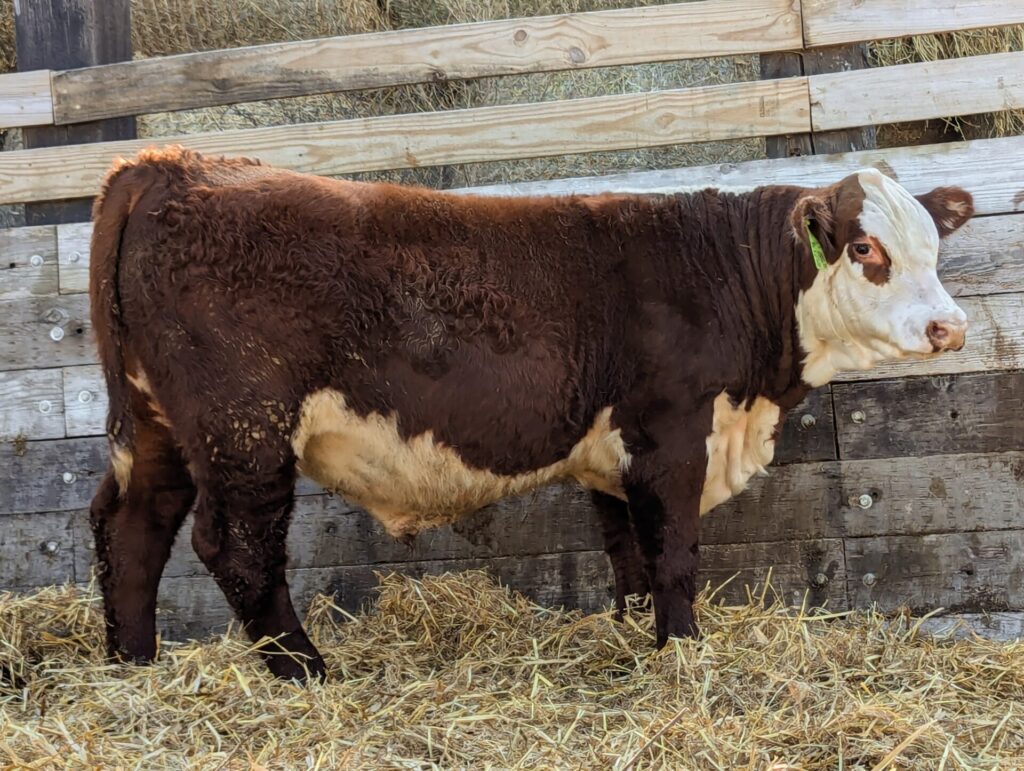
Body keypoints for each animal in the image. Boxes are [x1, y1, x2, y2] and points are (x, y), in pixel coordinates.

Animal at [87, 146, 972, 681]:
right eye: (865, 249)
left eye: (935, 245)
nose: (950, 327)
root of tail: (167, 165)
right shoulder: (672, 433)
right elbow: (675, 553)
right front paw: (682, 652)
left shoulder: (615, 453)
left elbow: (630, 557)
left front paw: (637, 635)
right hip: (245, 429)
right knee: (235, 548)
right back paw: (305, 669)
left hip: (160, 426)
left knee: (131, 528)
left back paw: (134, 662)